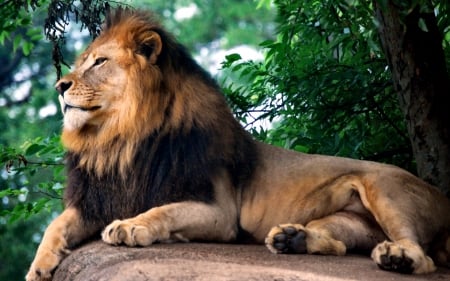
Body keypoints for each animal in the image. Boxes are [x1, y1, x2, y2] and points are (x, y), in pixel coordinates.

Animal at [26, 7, 448, 278]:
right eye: (82, 61)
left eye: (99, 62)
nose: (60, 85)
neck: (120, 139)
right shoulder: (99, 199)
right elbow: (56, 226)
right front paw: (39, 266)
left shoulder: (220, 211)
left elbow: (164, 212)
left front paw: (130, 227)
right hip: (348, 219)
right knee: (341, 245)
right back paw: (292, 239)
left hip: (384, 189)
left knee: (423, 256)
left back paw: (398, 257)